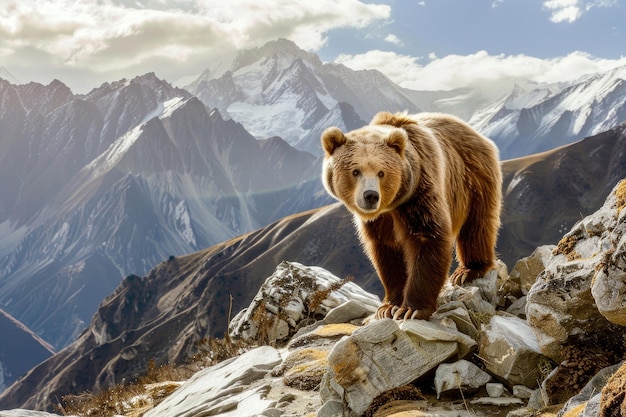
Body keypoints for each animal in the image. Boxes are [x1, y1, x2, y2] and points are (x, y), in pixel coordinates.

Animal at [320, 109, 500, 318]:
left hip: (474, 178)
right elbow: (386, 250)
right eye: (355, 171)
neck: (392, 205)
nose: (371, 196)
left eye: (381, 172)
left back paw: (468, 271)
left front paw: (411, 309)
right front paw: (388, 307)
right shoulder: (380, 221)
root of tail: (475, 132)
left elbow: (427, 238)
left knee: (477, 225)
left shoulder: (419, 194)